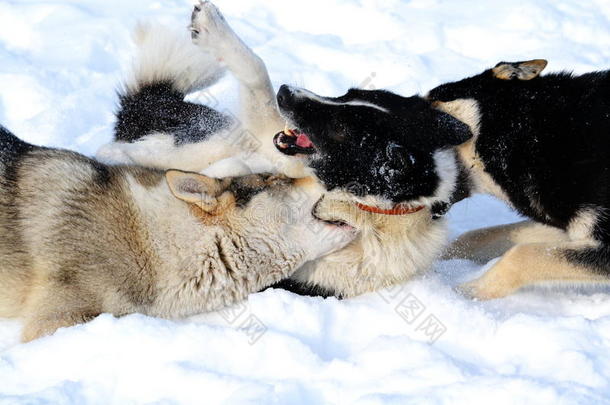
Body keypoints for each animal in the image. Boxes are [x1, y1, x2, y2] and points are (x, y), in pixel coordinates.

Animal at [276, 60, 608, 300]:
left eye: (342, 127)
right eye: (345, 94)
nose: (283, 92)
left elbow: (521, 255)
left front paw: (466, 292)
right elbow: (482, 237)